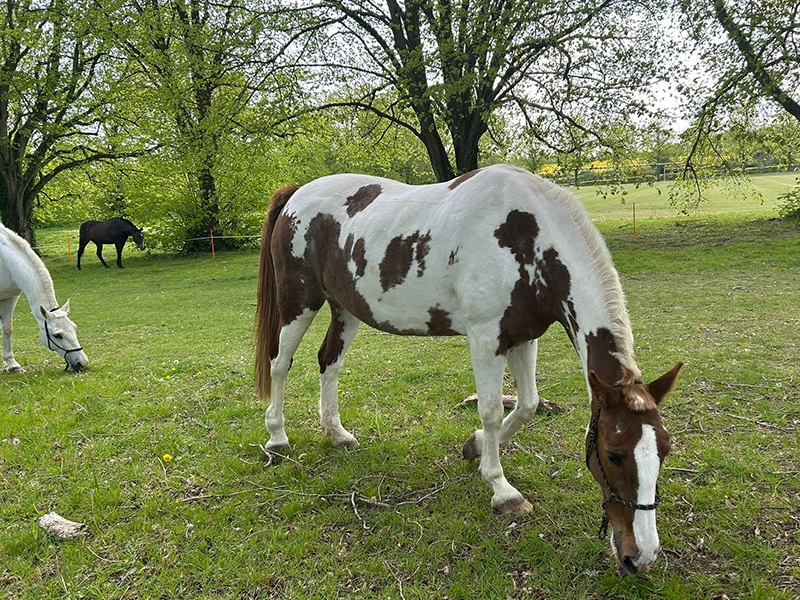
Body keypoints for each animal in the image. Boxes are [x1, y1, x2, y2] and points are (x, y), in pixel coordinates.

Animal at [0, 223, 88, 372]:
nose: (82, 363)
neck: (4, 261)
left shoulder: (10, 298)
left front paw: (12, 365)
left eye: (74, 328)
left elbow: (7, 330)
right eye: (57, 335)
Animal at [254, 164, 683, 575]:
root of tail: (296, 194)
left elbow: (527, 404)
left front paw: (474, 446)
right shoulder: (485, 336)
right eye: (613, 454)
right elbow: (491, 411)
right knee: (280, 365)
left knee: (329, 363)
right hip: (299, 303)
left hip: (345, 308)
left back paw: (336, 433)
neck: (526, 236)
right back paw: (277, 438)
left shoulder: (523, 336)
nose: (641, 555)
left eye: (664, 448)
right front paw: (502, 490)